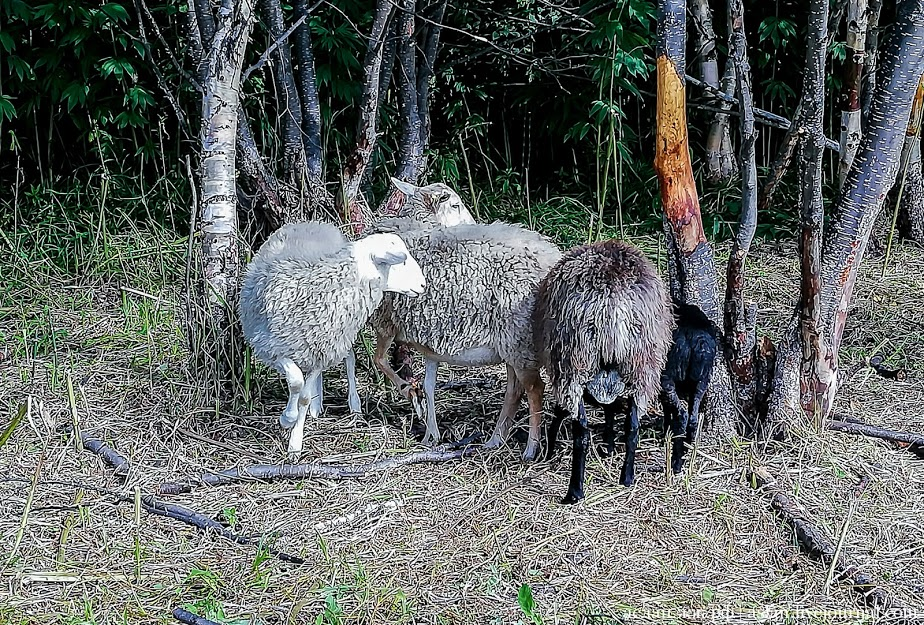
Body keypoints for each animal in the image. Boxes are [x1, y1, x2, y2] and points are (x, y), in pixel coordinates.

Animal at [238, 222, 426, 456]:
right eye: (400, 261)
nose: (423, 285)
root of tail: (313, 223)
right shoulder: (272, 348)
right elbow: (296, 382)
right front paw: (287, 420)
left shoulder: (325, 348)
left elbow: (303, 396)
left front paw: (295, 441)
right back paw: (316, 407)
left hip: (335, 341)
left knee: (349, 359)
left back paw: (351, 405)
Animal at [536, 239, 672, 502]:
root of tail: (614, 304)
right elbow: (611, 410)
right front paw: (608, 445)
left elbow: (560, 411)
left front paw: (549, 450)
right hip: (644, 366)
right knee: (633, 426)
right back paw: (627, 478)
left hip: (573, 361)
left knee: (581, 431)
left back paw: (574, 492)